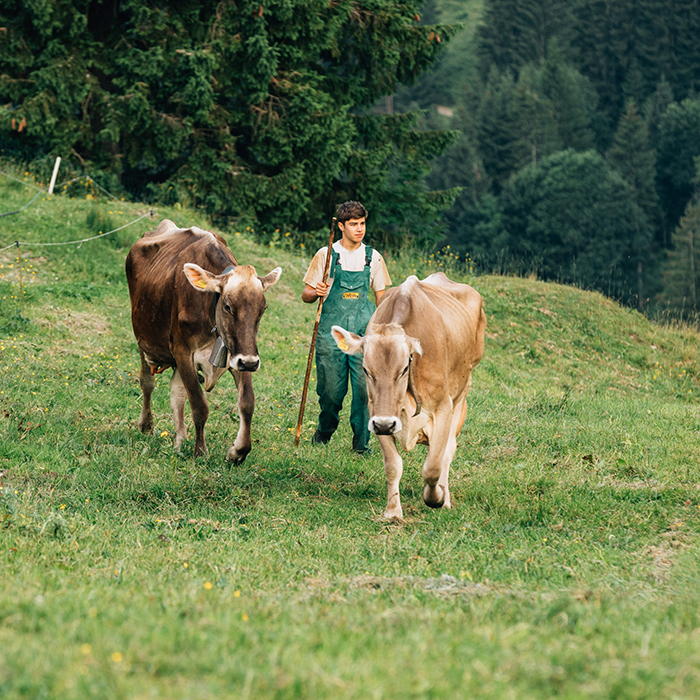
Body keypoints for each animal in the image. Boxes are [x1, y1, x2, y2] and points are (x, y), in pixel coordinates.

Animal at [126, 219, 282, 460]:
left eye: (262, 309)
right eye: (228, 307)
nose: (250, 363)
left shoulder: (240, 353)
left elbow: (247, 403)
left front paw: (237, 452)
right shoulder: (183, 352)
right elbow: (199, 406)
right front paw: (200, 451)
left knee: (177, 391)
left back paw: (180, 440)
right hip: (144, 342)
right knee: (147, 382)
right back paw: (146, 425)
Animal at [330, 274, 484, 520]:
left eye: (403, 369)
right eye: (365, 370)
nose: (385, 424)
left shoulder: (443, 407)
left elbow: (433, 467)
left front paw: (436, 498)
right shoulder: (377, 414)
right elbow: (393, 465)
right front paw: (393, 511)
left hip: (461, 393)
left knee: (447, 452)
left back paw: (445, 498)